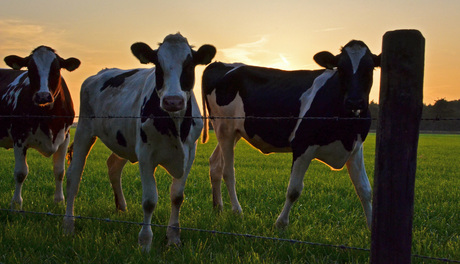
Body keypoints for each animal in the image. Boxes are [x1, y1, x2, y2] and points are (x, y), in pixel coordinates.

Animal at [0, 46, 80, 209]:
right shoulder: (19, 137)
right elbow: (20, 173)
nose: (43, 96)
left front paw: (59, 201)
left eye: (56, 69)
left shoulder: (65, 137)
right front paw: (16, 204)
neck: (48, 118)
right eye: (30, 69)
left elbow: (59, 171)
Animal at [61, 33, 217, 252]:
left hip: (123, 140)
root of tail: (100, 73)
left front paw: (173, 238)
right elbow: (150, 200)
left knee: (113, 166)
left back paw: (121, 208)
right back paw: (68, 225)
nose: (173, 101)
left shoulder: (190, 152)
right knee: (73, 177)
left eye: (189, 65)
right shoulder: (145, 154)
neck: (174, 123)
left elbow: (177, 196)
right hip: (83, 129)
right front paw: (145, 242)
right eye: (158, 65)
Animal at [203, 39, 380, 229]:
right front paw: (281, 223)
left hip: (234, 131)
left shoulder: (355, 148)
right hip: (224, 128)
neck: (345, 127)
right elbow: (294, 189)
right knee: (228, 171)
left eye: (370, 68)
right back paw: (237, 211)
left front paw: (371, 227)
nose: (355, 101)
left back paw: (218, 208)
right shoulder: (302, 145)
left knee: (215, 164)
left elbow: (365, 189)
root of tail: (219, 64)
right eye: (340, 68)